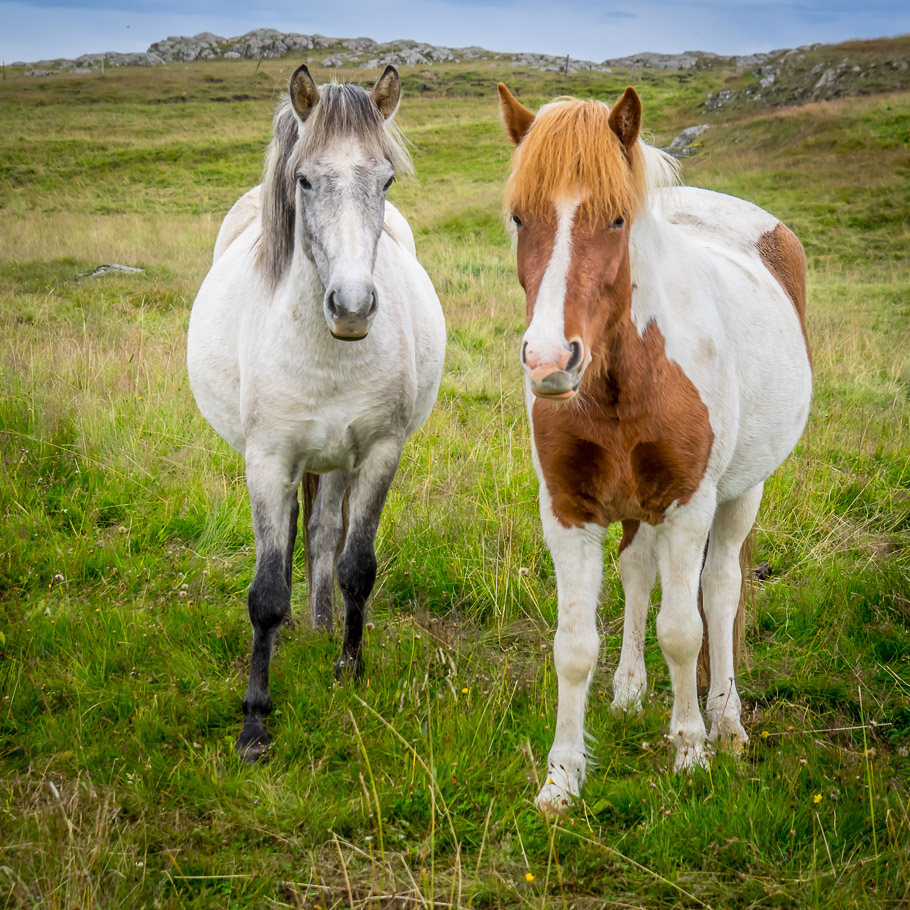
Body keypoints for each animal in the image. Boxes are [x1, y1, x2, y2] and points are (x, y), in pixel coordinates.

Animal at [188, 65, 446, 761]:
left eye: (385, 178)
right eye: (304, 179)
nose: (352, 307)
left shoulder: (380, 452)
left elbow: (357, 566)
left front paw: (349, 668)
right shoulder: (269, 461)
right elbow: (265, 595)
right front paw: (254, 722)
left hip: (337, 459)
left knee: (326, 535)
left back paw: (323, 626)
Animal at [497, 83, 812, 813]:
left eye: (617, 220)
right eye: (520, 218)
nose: (550, 361)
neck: (628, 372)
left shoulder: (689, 506)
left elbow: (684, 629)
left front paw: (690, 753)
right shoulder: (569, 512)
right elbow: (574, 645)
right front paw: (561, 779)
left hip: (740, 494)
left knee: (720, 591)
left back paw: (726, 722)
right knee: (638, 572)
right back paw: (630, 691)